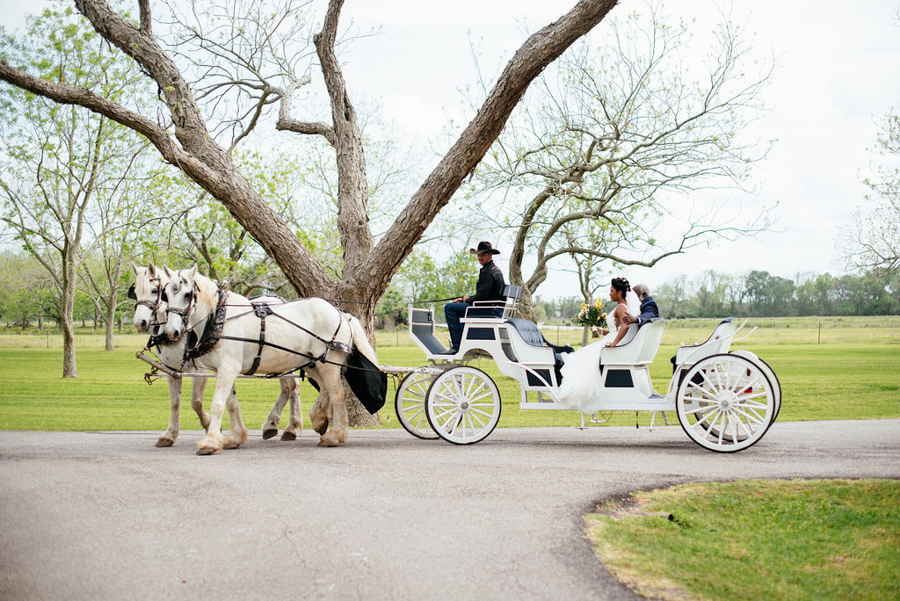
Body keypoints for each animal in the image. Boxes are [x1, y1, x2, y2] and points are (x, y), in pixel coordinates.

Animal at [130, 262, 304, 446]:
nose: (140, 323)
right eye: (135, 293)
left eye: (154, 291)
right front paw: (169, 434)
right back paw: (279, 425)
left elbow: (196, 401)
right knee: (290, 387)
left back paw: (288, 426)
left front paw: (209, 426)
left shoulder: (200, 369)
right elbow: (175, 403)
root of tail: (280, 300)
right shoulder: (172, 370)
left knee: (291, 386)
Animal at [160, 264, 378, 452]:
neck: (219, 317)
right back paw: (318, 419)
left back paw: (334, 435)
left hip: (328, 363)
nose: (172, 332)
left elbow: (218, 403)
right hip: (312, 362)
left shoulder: (228, 368)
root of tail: (341, 313)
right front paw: (235, 438)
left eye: (187, 294)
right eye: (166, 295)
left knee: (337, 394)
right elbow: (231, 403)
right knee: (325, 388)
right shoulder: (224, 369)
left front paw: (211, 442)